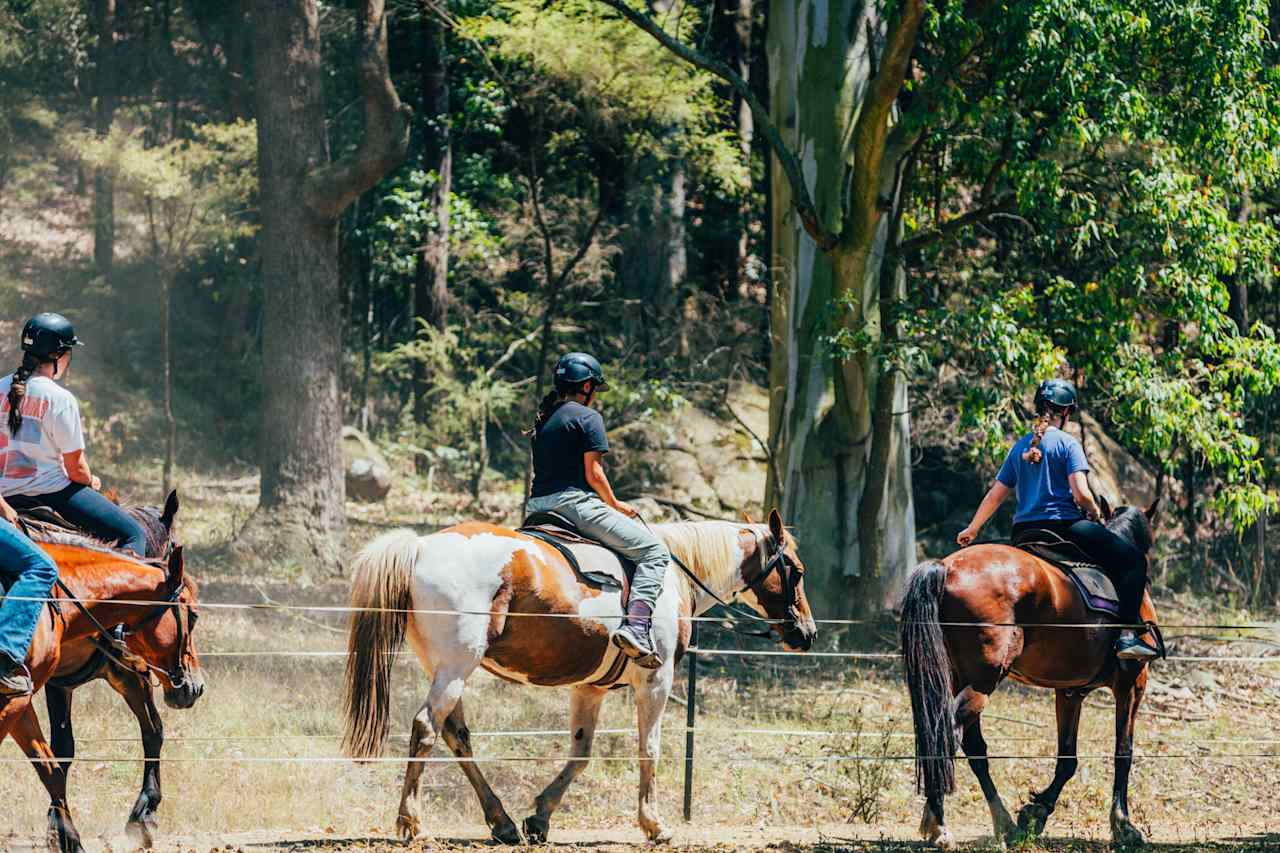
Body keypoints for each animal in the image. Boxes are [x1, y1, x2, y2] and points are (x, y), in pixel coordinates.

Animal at [343, 507, 819, 840]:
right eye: (796, 570)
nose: (807, 633)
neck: (673, 574)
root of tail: (422, 546)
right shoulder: (656, 682)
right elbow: (649, 749)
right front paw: (653, 824)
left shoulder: (590, 690)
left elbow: (581, 754)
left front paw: (540, 817)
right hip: (457, 667)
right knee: (426, 728)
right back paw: (412, 822)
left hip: (446, 668)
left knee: (455, 735)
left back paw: (502, 822)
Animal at [901, 499, 1162, 845]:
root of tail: (946, 568)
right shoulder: (1132, 684)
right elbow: (1123, 752)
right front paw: (1123, 824)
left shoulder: (1070, 692)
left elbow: (1067, 759)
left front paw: (1036, 813)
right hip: (983, 681)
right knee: (949, 734)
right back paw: (941, 826)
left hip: (957, 678)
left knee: (970, 745)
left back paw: (1001, 822)